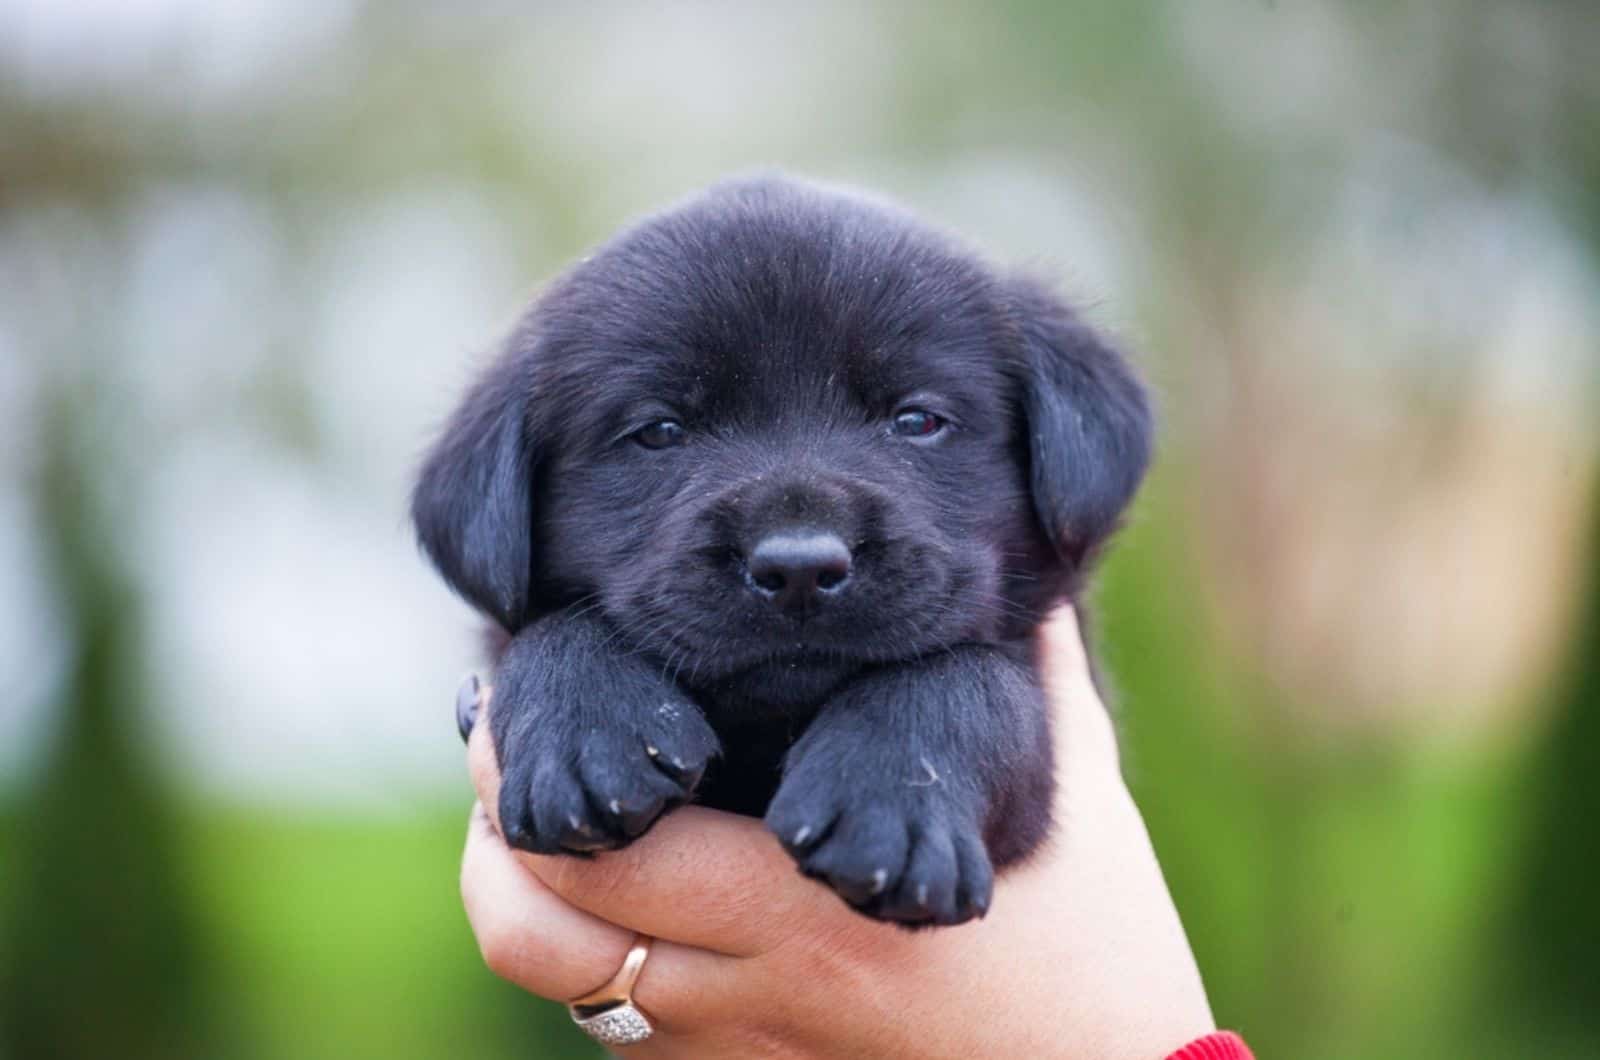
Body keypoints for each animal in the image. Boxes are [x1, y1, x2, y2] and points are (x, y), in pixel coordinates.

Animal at [409, 176, 1139, 928]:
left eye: (918, 420)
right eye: (659, 430)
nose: (799, 569)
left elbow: (976, 678)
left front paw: (887, 804)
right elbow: (550, 631)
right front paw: (586, 732)